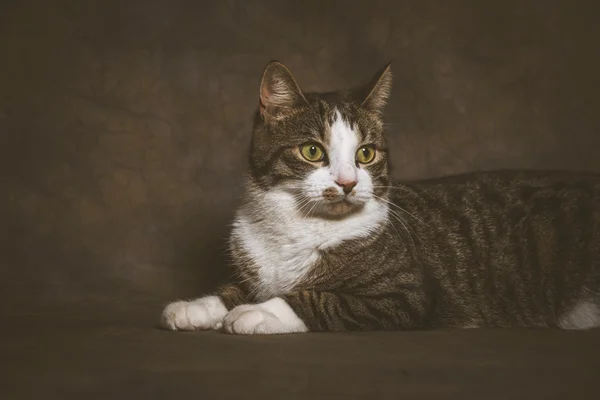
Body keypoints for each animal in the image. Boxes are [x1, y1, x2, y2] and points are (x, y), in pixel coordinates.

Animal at [159, 60, 600, 334]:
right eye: (312, 151)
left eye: (366, 154)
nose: (348, 182)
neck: (297, 225)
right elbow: (238, 286)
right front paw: (199, 306)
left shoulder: (407, 293)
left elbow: (317, 299)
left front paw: (256, 312)